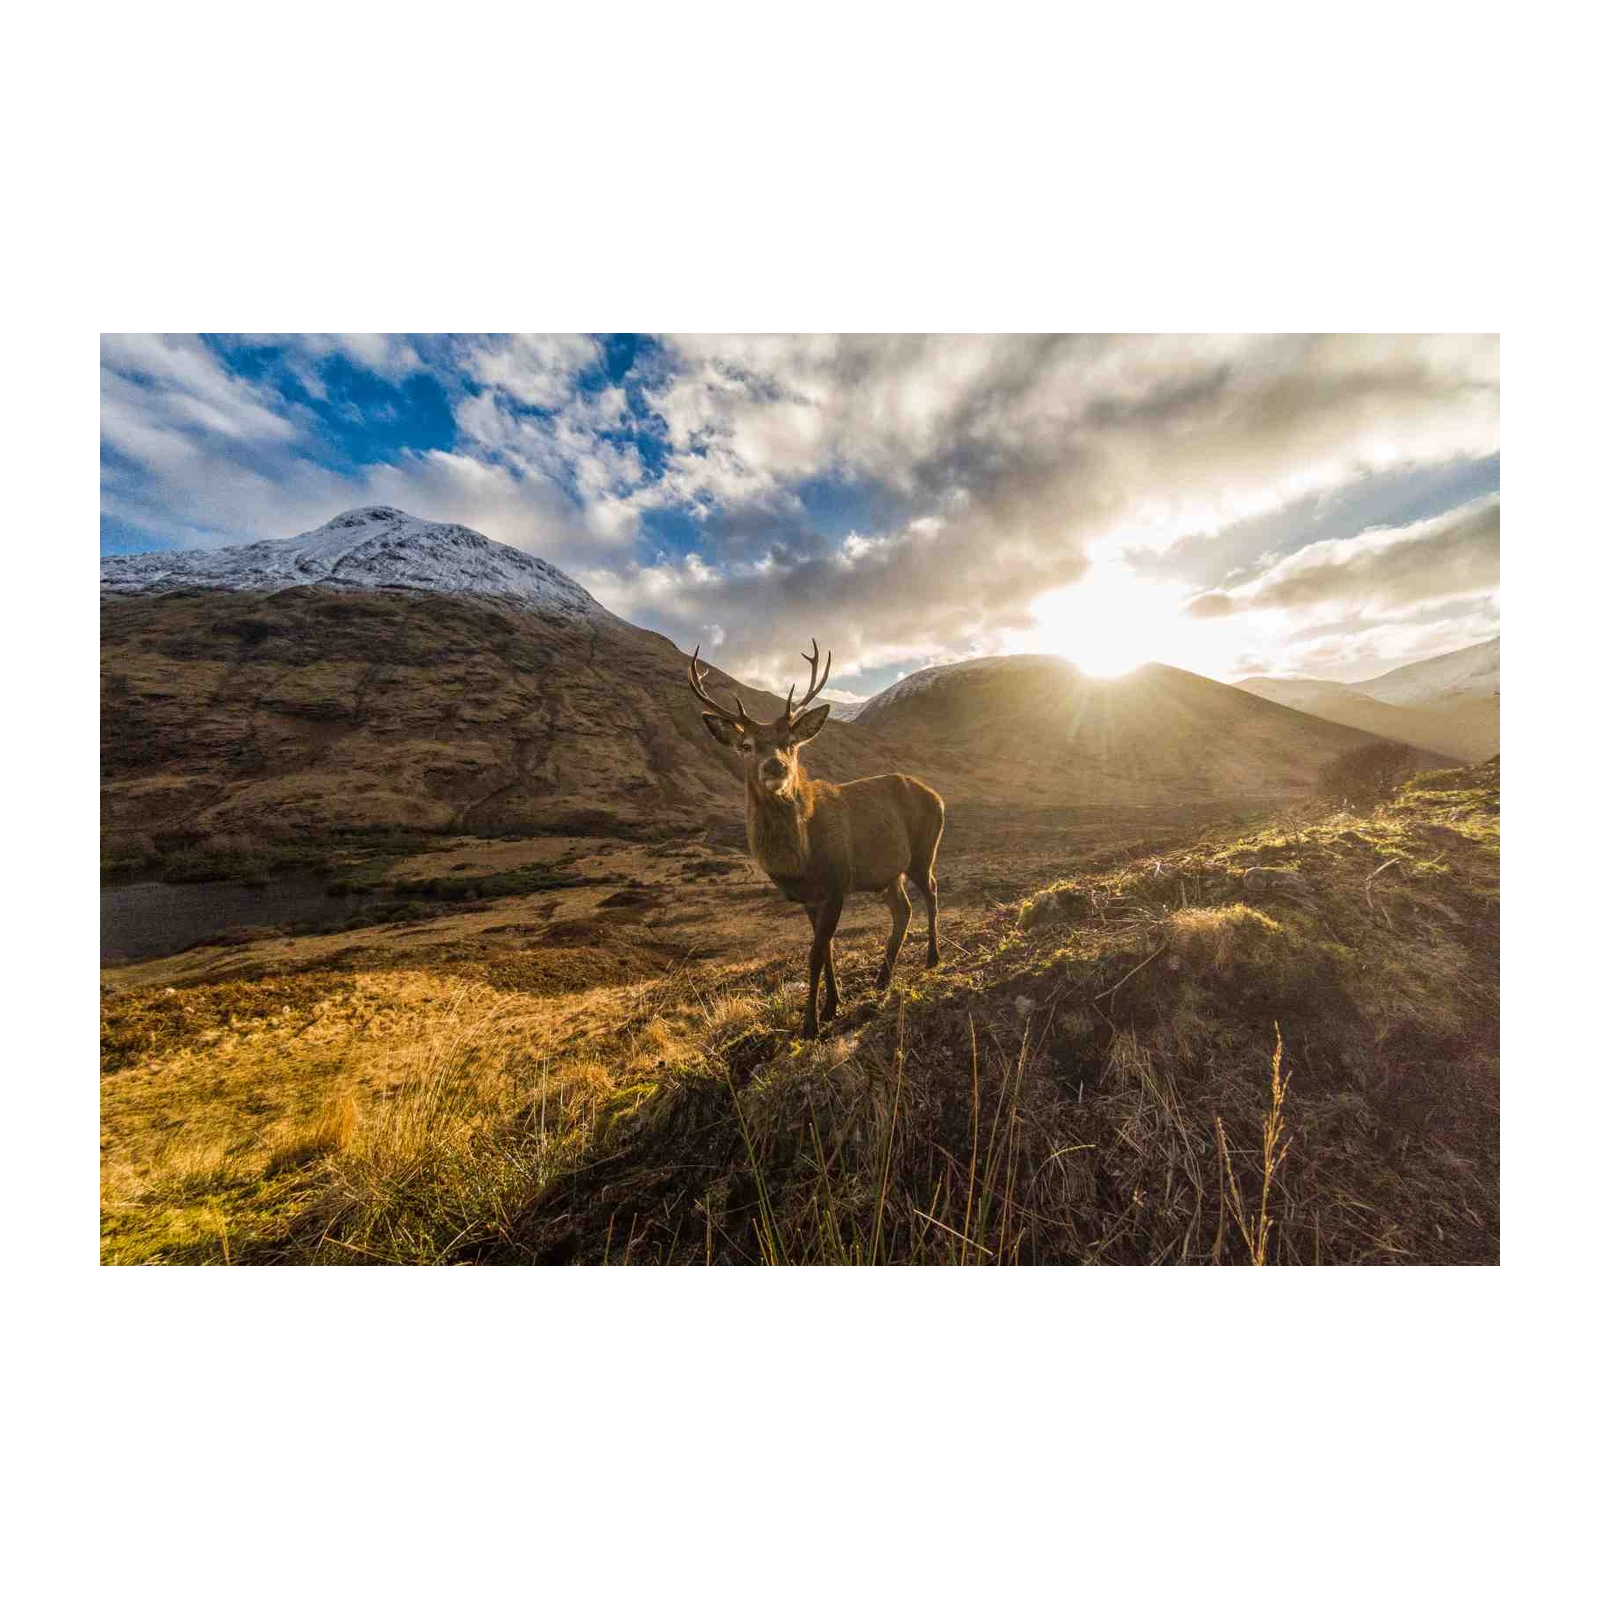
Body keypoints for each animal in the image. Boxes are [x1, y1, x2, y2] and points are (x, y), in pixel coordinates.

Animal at [688, 638, 945, 1040]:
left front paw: (809, 1024)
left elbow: (813, 955)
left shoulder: (837, 884)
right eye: (746, 745)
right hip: (887, 872)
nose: (775, 766)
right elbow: (826, 952)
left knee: (931, 891)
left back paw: (933, 957)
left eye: (791, 742)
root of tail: (937, 796)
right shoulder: (809, 898)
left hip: (924, 849)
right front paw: (831, 1006)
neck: (799, 861)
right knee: (902, 910)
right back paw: (882, 978)